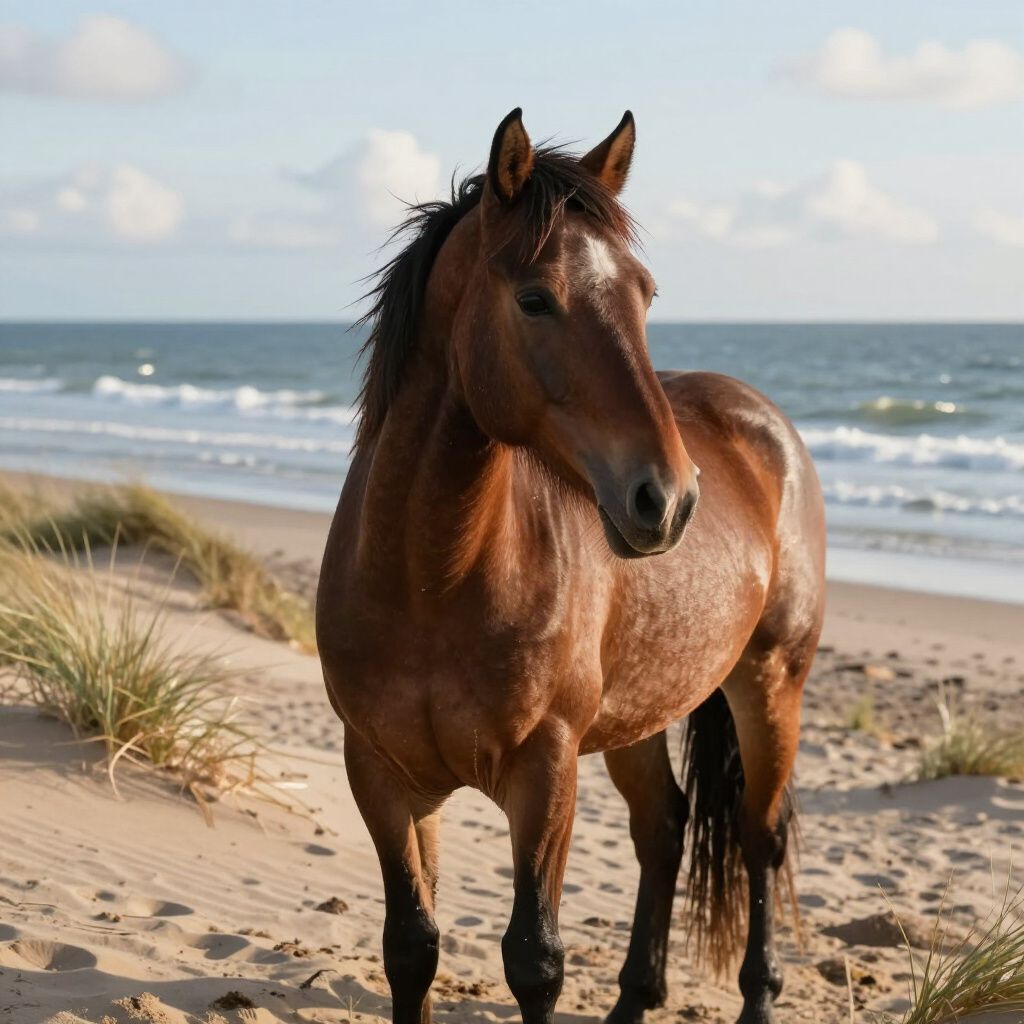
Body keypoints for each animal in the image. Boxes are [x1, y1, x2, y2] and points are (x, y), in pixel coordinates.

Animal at [316, 108, 825, 1024]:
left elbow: (534, 960)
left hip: (771, 682)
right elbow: (410, 947)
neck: (429, 579)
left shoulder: (545, 772)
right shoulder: (377, 772)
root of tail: (765, 424)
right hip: (645, 708)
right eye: (534, 299)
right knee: (664, 829)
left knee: (759, 839)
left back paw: (758, 996)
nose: (669, 498)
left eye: (644, 294)